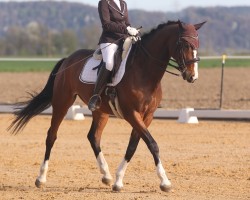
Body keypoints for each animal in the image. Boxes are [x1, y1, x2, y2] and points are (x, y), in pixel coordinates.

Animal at [8, 20, 206, 192]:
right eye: (183, 43)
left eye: (197, 43)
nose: (192, 76)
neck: (144, 70)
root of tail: (67, 59)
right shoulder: (131, 114)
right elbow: (152, 143)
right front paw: (165, 182)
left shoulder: (147, 116)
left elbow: (133, 146)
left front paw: (118, 181)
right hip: (62, 101)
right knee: (51, 136)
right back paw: (41, 178)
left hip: (100, 110)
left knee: (93, 137)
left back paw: (107, 175)